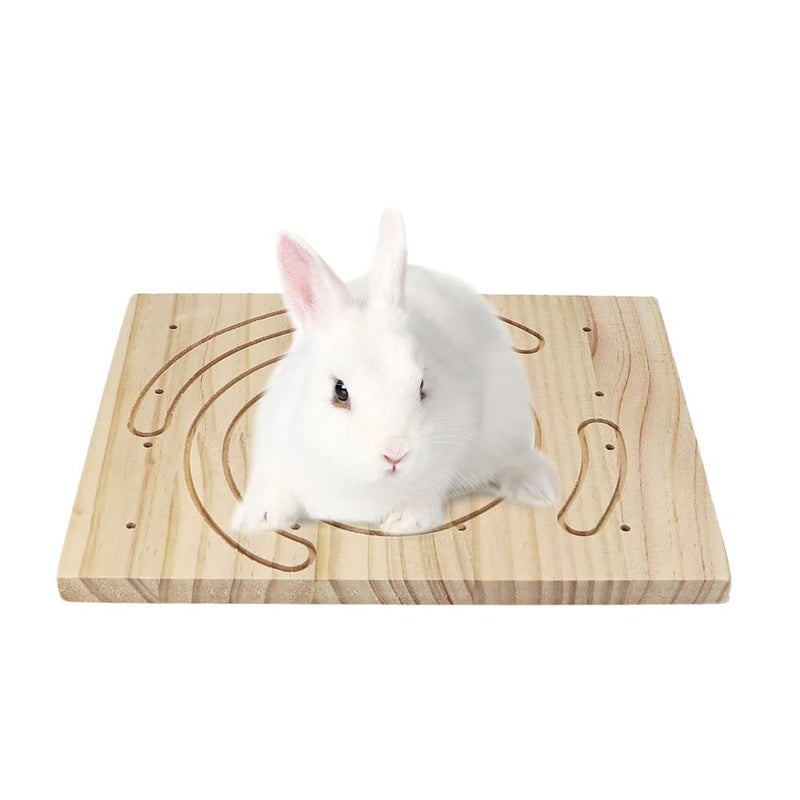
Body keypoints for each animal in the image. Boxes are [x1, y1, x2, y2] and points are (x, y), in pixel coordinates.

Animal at [231, 208, 558, 535]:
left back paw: (539, 490)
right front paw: (258, 519)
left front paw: (405, 521)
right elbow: (275, 488)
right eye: (340, 391)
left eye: (422, 385)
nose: (395, 453)